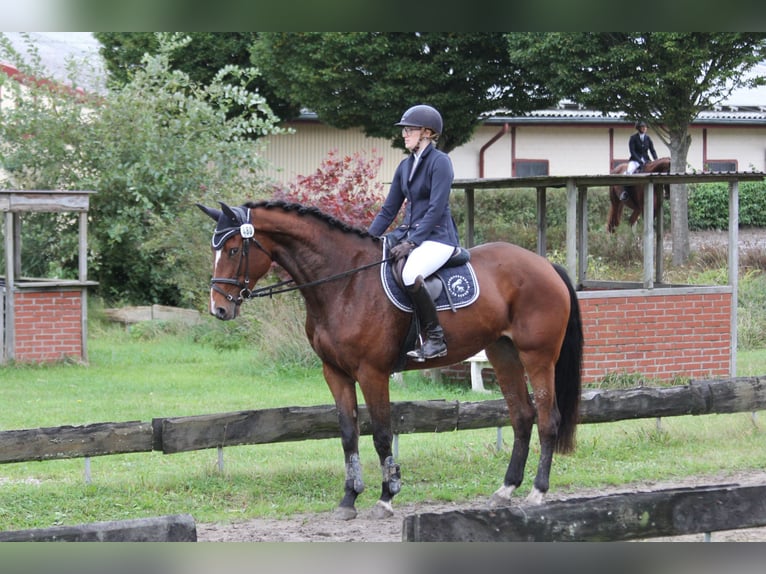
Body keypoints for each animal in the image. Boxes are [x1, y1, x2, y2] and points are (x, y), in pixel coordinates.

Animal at [197, 200, 583, 520]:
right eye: (216, 250)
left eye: (233, 249)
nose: (219, 309)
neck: (344, 283)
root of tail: (545, 264)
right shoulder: (335, 373)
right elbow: (348, 435)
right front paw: (348, 500)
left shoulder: (372, 373)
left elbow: (382, 434)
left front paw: (386, 496)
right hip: (503, 354)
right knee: (521, 417)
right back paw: (505, 490)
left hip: (537, 356)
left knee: (548, 419)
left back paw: (537, 492)